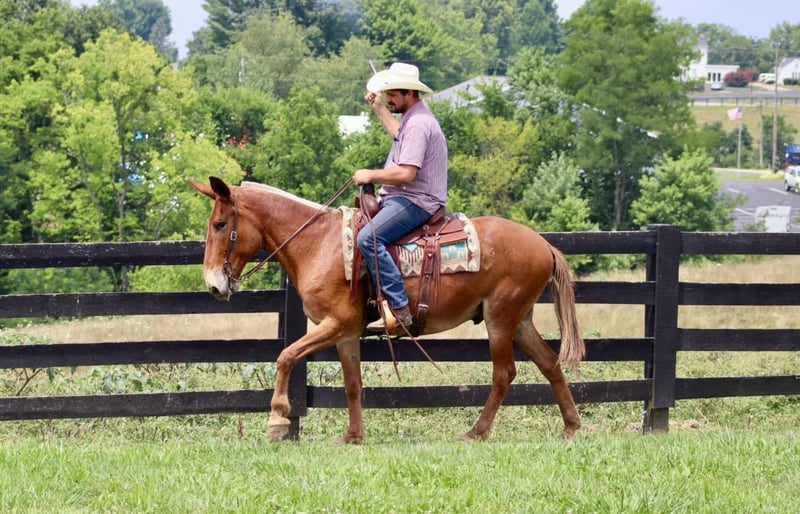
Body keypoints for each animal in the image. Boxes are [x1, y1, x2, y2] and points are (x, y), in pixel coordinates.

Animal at [190, 176, 585, 443]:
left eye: (220, 225)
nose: (213, 285)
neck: (318, 244)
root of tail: (543, 245)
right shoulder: (345, 334)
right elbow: (352, 384)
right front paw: (353, 435)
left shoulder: (335, 323)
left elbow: (286, 355)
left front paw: (277, 419)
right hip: (520, 320)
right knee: (549, 364)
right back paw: (571, 426)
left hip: (500, 320)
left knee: (504, 374)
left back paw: (477, 431)